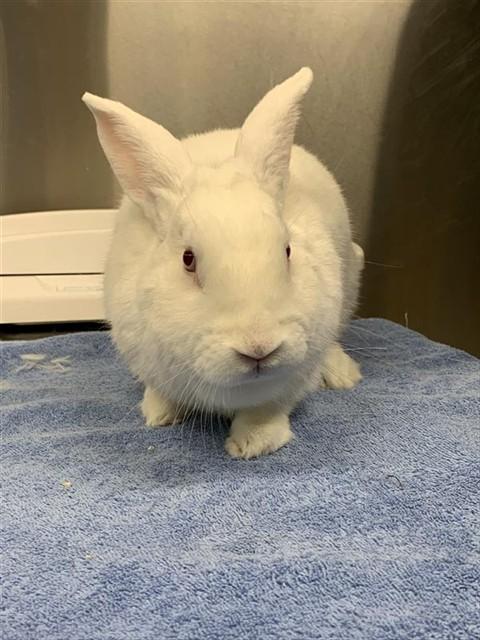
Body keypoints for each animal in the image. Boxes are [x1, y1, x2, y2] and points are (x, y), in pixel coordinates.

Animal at [82, 67, 364, 459]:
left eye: (287, 251)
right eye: (188, 259)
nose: (259, 348)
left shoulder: (292, 379)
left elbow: (268, 408)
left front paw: (253, 443)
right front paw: (159, 414)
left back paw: (342, 374)